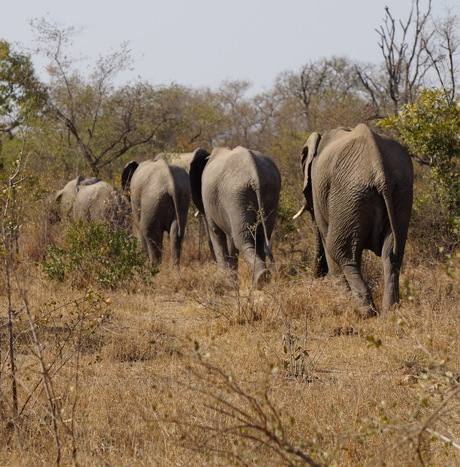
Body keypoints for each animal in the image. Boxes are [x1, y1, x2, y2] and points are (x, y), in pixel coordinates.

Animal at [190, 148, 282, 290]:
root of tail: (255, 173)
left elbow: (217, 233)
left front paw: (227, 281)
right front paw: (232, 279)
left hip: (235, 195)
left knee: (241, 239)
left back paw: (258, 280)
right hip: (270, 191)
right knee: (260, 237)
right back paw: (261, 279)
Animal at [294, 124, 414, 314]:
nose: (318, 278)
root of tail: (380, 171)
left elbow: (327, 241)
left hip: (349, 194)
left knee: (340, 251)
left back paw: (362, 310)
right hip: (400, 191)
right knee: (392, 253)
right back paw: (390, 310)